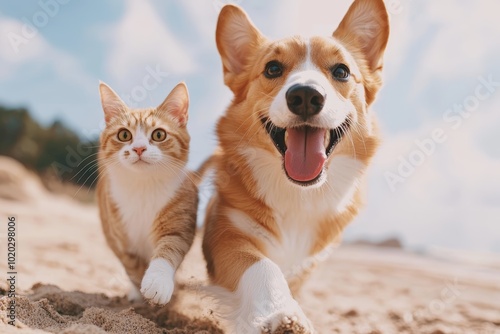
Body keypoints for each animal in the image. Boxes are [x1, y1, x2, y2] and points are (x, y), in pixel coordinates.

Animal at [95, 81, 197, 306]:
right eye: (124, 135)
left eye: (159, 134)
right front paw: (140, 292)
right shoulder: (119, 238)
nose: (139, 148)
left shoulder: (178, 222)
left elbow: (169, 248)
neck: (143, 186)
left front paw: (157, 282)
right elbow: (132, 266)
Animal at [203, 1, 390, 332]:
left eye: (341, 71)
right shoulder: (227, 232)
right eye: (272, 68)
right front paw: (280, 314)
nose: (305, 95)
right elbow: (263, 267)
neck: (299, 193)